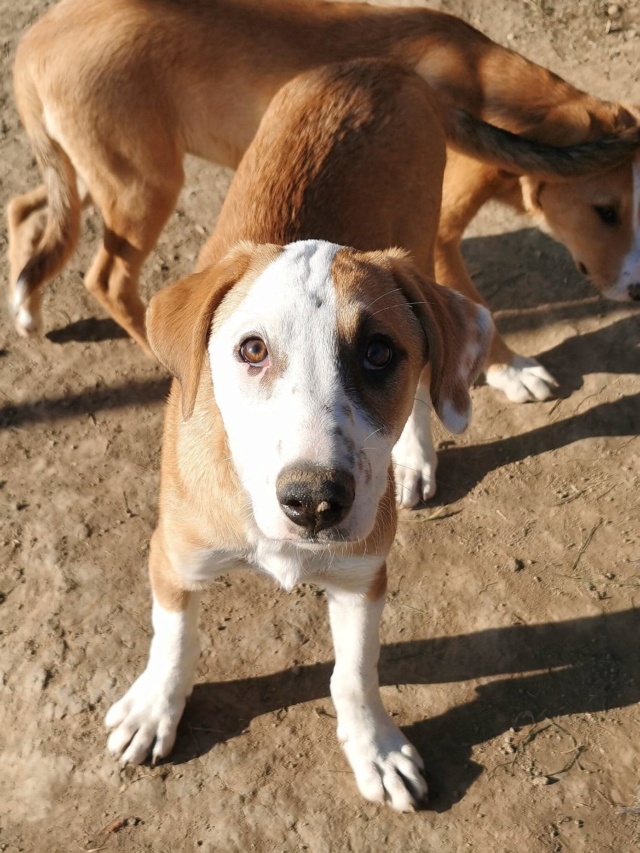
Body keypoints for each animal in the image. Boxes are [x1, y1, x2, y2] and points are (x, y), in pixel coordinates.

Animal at [104, 58, 490, 804]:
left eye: (379, 353)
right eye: (251, 349)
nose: (315, 500)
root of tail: (380, 65)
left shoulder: (364, 575)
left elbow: (355, 673)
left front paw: (376, 747)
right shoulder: (172, 553)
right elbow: (172, 639)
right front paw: (153, 707)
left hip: (421, 241)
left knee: (432, 390)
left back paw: (415, 457)